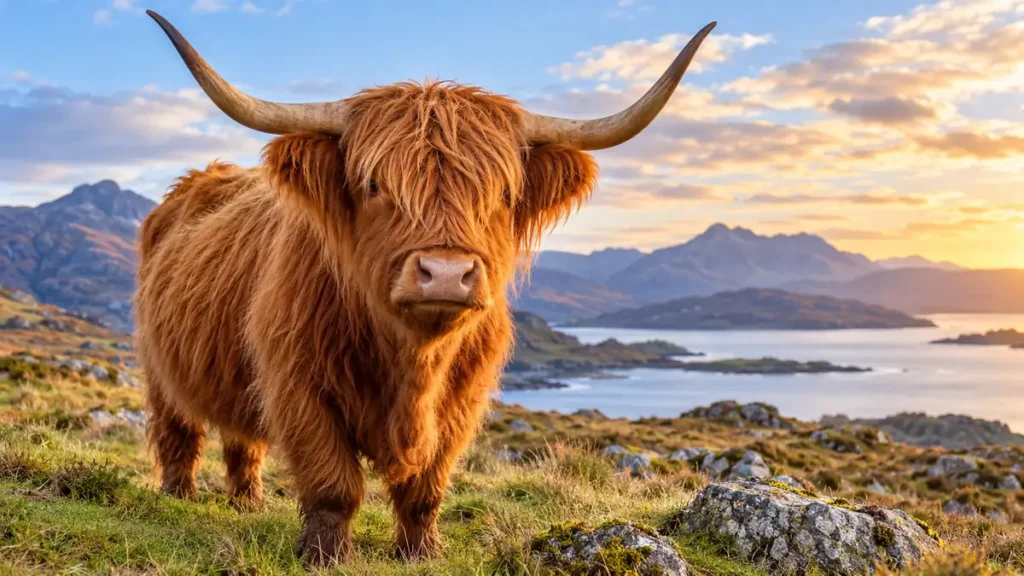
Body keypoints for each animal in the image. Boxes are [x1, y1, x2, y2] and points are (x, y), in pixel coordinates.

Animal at [136, 10, 714, 565]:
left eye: (503, 193)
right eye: (374, 184)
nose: (445, 272)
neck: (412, 359)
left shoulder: (462, 400)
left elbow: (425, 487)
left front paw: (420, 551)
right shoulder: (299, 385)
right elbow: (333, 483)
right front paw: (325, 555)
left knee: (242, 440)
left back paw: (246, 502)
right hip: (158, 367)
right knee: (180, 432)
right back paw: (178, 496)